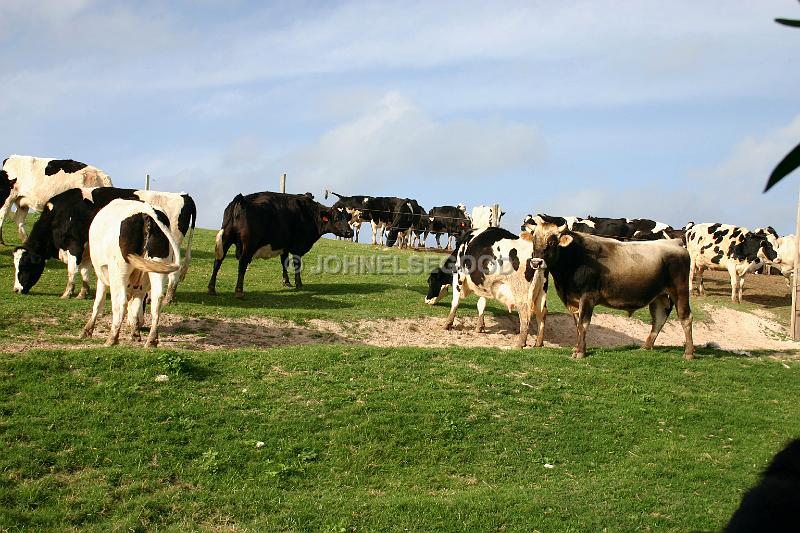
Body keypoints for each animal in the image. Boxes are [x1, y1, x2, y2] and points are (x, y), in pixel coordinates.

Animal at [12, 187, 197, 304]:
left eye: (25, 265)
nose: (16, 290)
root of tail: (183, 195)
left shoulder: (74, 245)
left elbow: (72, 271)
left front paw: (67, 293)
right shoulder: (87, 249)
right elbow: (85, 271)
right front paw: (83, 293)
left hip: (170, 248)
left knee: (174, 272)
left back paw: (167, 298)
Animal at [78, 198, 178, 344]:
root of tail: (145, 211)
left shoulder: (102, 273)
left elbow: (98, 302)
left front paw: (87, 331)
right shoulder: (141, 285)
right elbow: (136, 305)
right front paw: (135, 333)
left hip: (118, 270)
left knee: (120, 301)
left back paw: (112, 339)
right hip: (158, 266)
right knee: (157, 299)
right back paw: (151, 340)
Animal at [209, 189, 354, 298]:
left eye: (347, 218)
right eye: (336, 218)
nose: (350, 232)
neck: (309, 214)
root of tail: (242, 199)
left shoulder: (284, 246)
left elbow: (284, 262)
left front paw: (286, 281)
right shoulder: (297, 246)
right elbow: (297, 264)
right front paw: (299, 284)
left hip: (226, 237)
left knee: (218, 261)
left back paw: (211, 288)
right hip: (248, 243)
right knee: (242, 263)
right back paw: (239, 291)